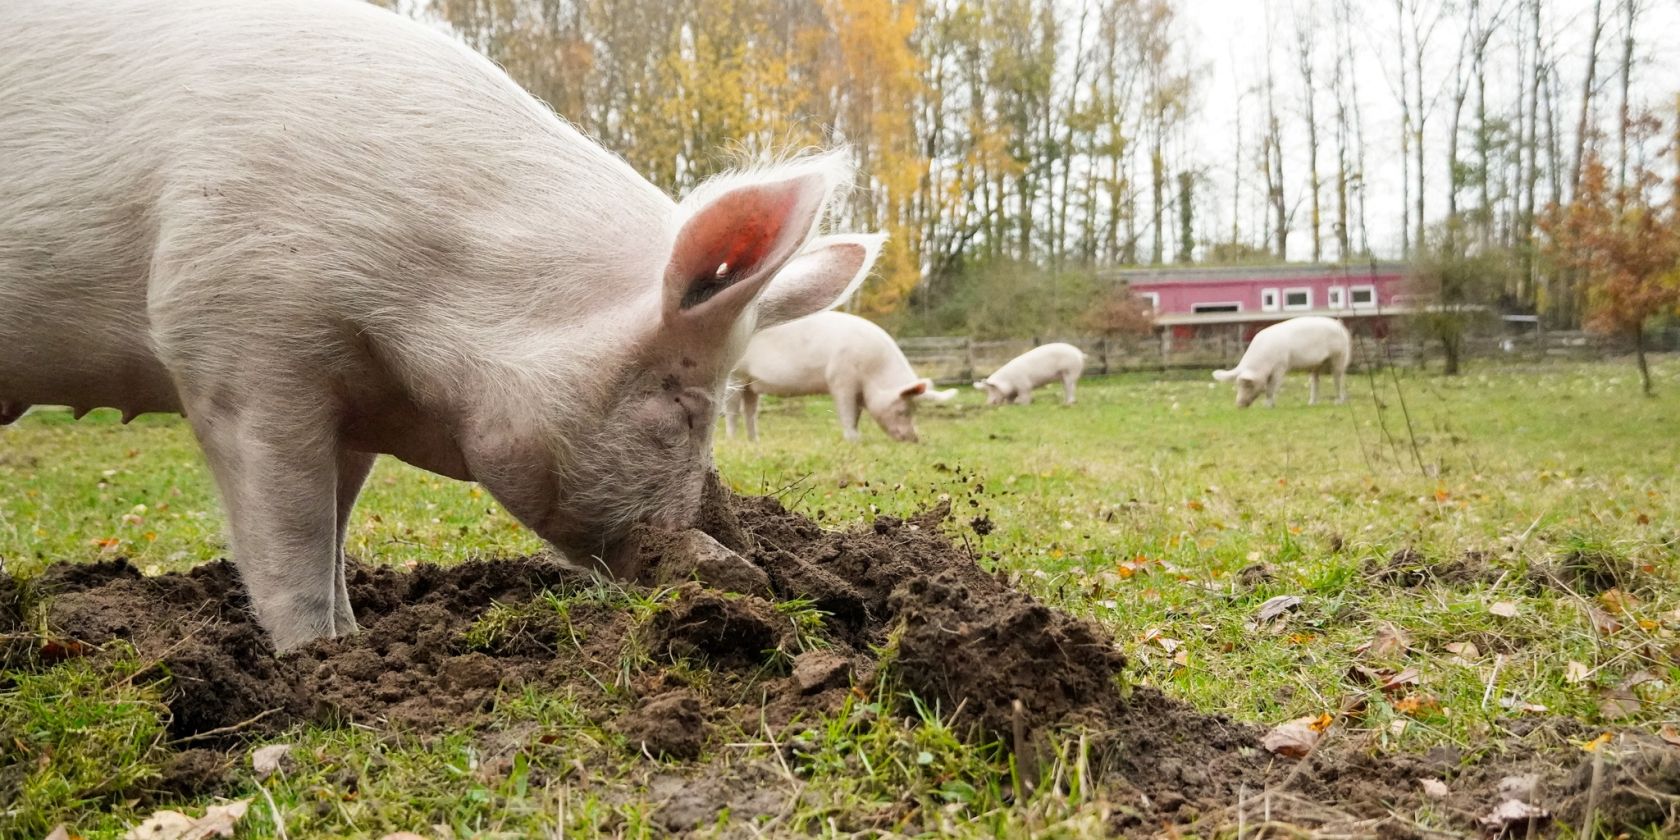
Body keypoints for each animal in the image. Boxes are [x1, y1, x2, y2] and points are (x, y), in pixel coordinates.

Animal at [0, 0, 885, 650]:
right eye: (683, 406)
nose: (746, 574)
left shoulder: (350, 400)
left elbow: (336, 528)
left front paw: (353, 637)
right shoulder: (235, 347)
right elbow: (292, 538)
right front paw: (320, 662)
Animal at [724, 311, 956, 443]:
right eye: (903, 410)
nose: (915, 439)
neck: (874, 372)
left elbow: (856, 414)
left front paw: (856, 436)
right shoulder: (841, 379)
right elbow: (846, 411)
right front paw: (854, 440)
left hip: (750, 382)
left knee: (750, 411)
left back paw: (754, 441)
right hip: (735, 374)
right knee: (732, 409)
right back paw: (733, 441)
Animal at [1212, 316, 1351, 408]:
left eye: (1248, 385)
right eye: (1237, 385)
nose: (1238, 405)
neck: (1262, 364)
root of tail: (1339, 324)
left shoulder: (1281, 366)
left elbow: (1271, 387)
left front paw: (1267, 406)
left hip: (1339, 355)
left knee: (1338, 378)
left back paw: (1339, 402)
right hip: (1315, 365)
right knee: (1315, 381)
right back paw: (1311, 403)